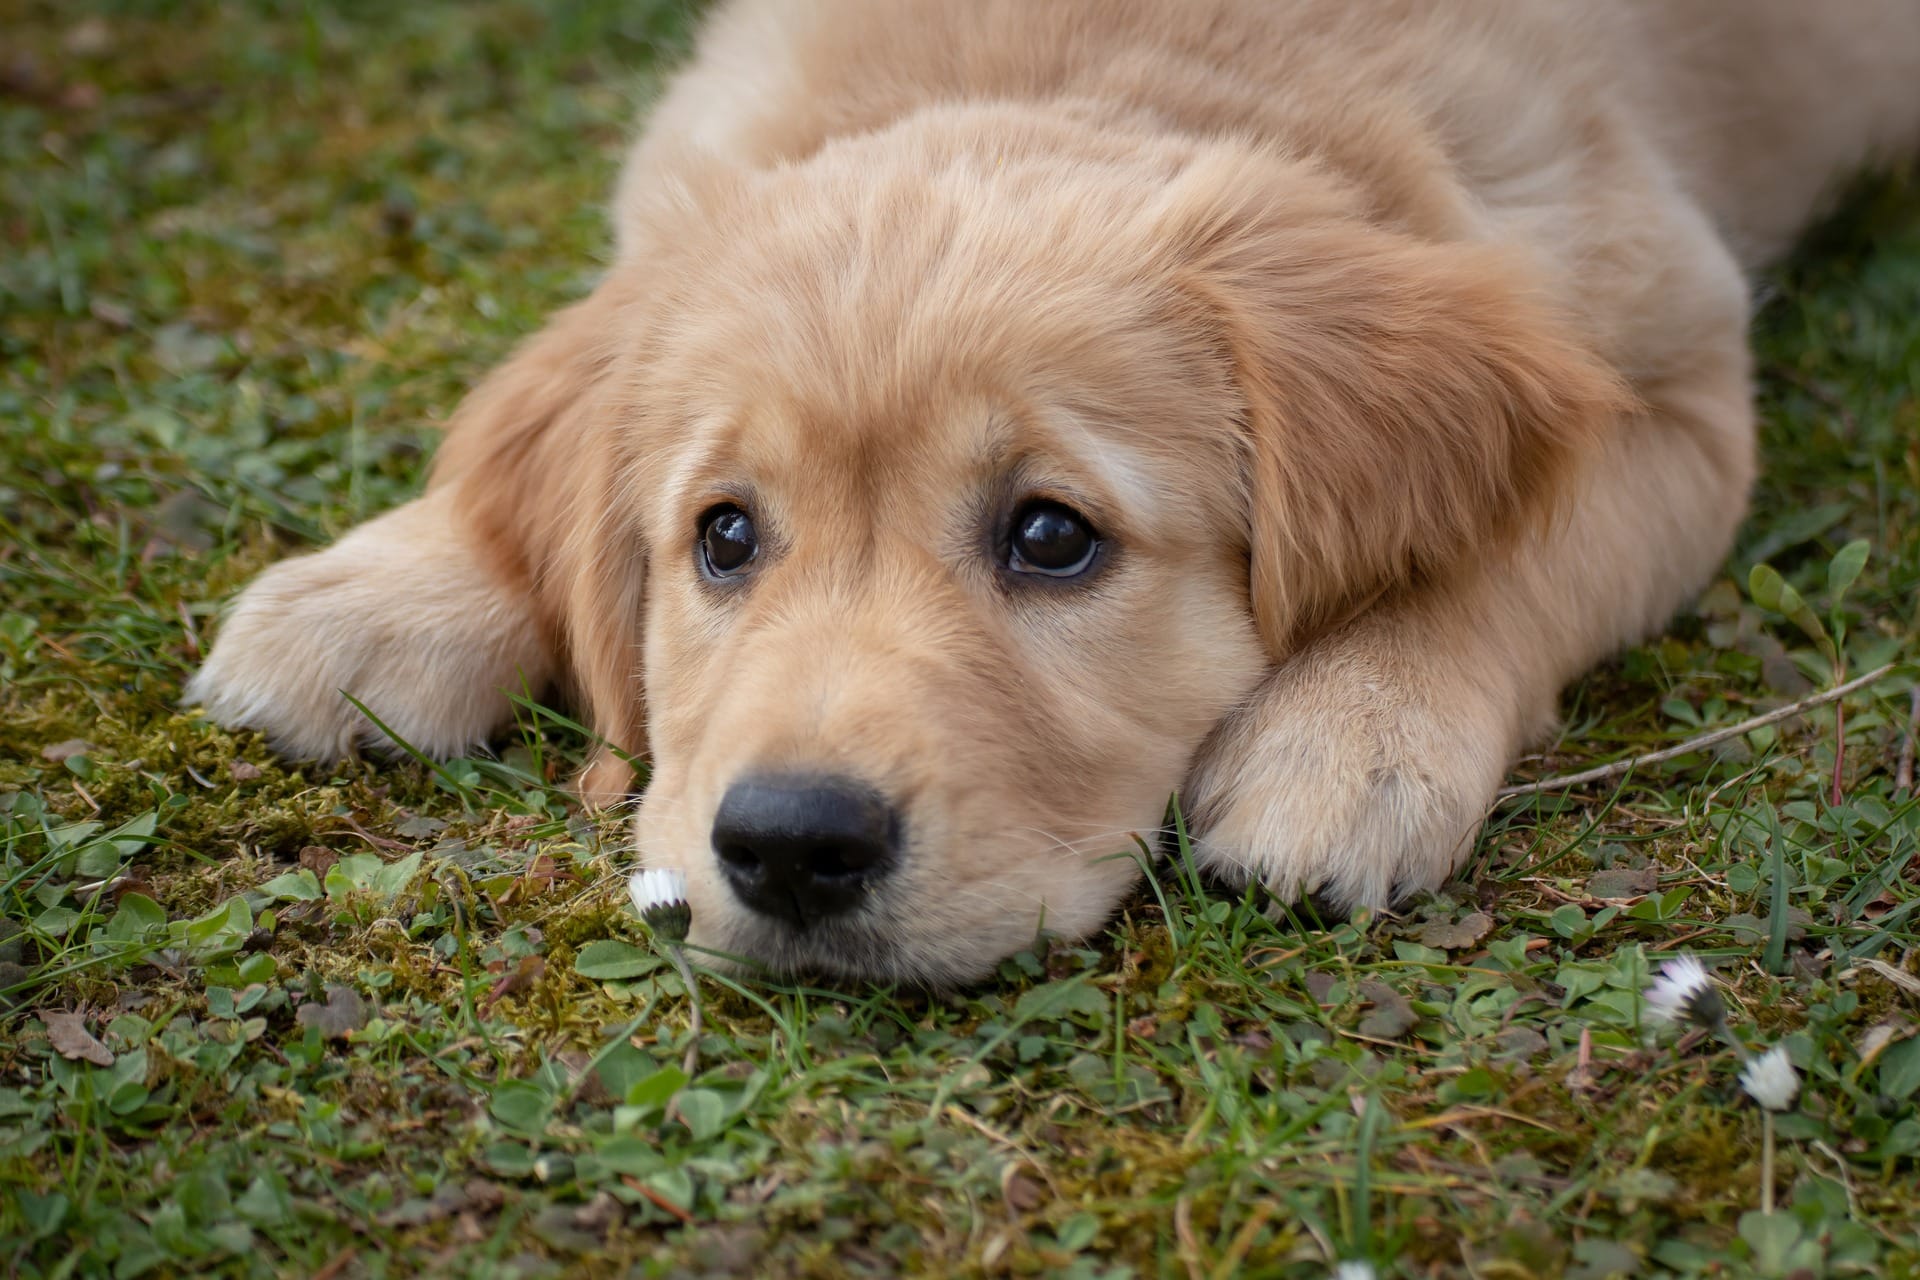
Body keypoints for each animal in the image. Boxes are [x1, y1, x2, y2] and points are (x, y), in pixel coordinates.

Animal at [183, 0, 1920, 982]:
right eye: (722, 536)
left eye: (1051, 537)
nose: (791, 848)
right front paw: (384, 588)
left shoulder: (1676, 384)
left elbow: (1512, 550)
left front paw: (1355, 732)